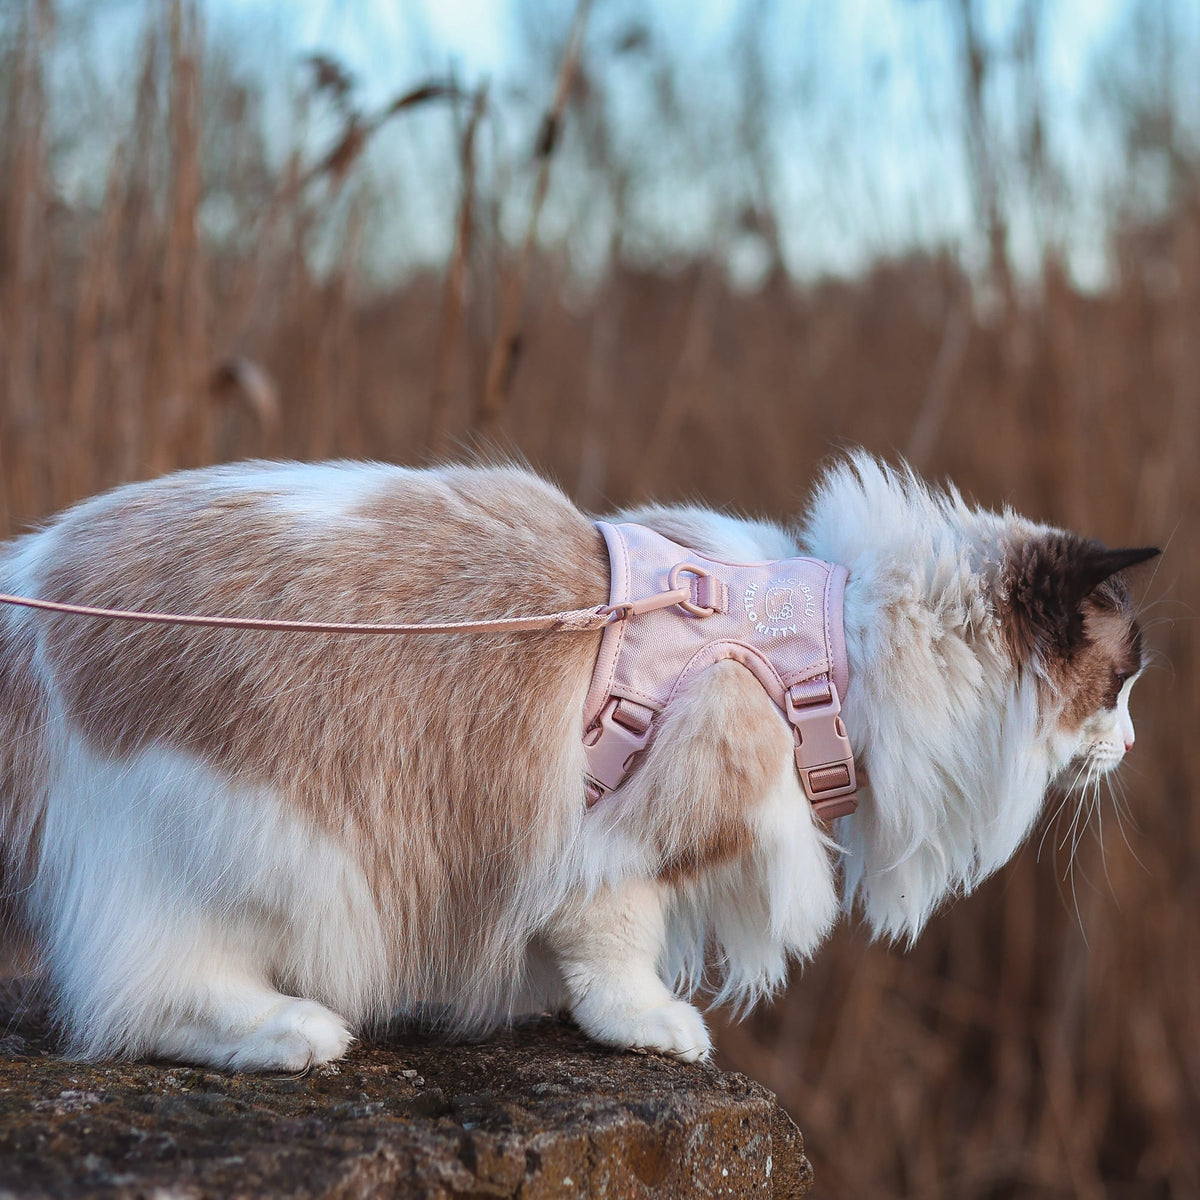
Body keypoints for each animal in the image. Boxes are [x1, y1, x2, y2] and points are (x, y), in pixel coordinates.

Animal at [0, 451, 1156, 1070]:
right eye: (1124, 682)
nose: (1137, 743)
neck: (826, 647)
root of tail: (34, 584)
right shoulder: (638, 831)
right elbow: (617, 943)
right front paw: (648, 1026)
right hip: (245, 844)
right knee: (145, 992)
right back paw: (292, 1033)